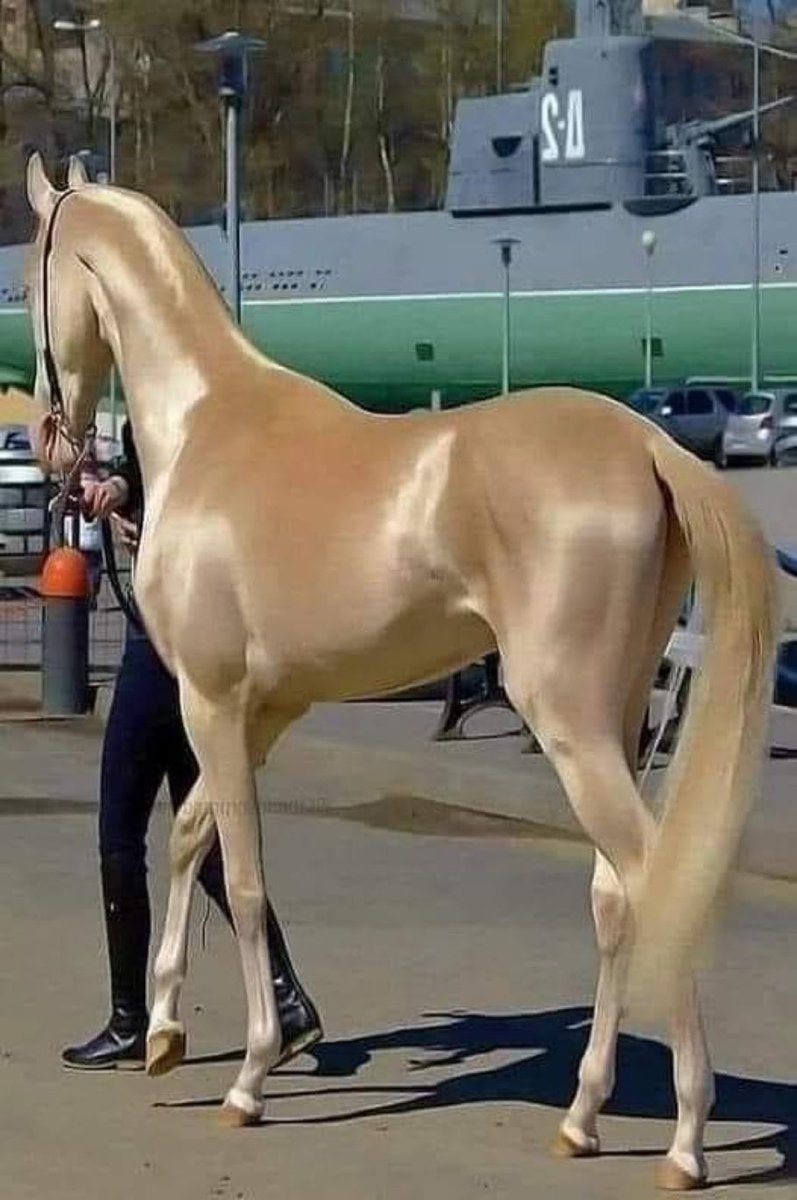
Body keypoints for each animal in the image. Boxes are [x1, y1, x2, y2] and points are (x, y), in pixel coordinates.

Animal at [25, 151, 777, 1191]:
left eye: (29, 278)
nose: (49, 440)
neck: (210, 425)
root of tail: (647, 444)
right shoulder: (264, 713)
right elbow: (187, 838)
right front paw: (169, 1031)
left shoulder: (211, 704)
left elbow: (244, 877)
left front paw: (249, 1078)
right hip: (614, 723)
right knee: (614, 901)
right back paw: (581, 1117)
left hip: (569, 726)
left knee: (655, 880)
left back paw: (685, 1142)